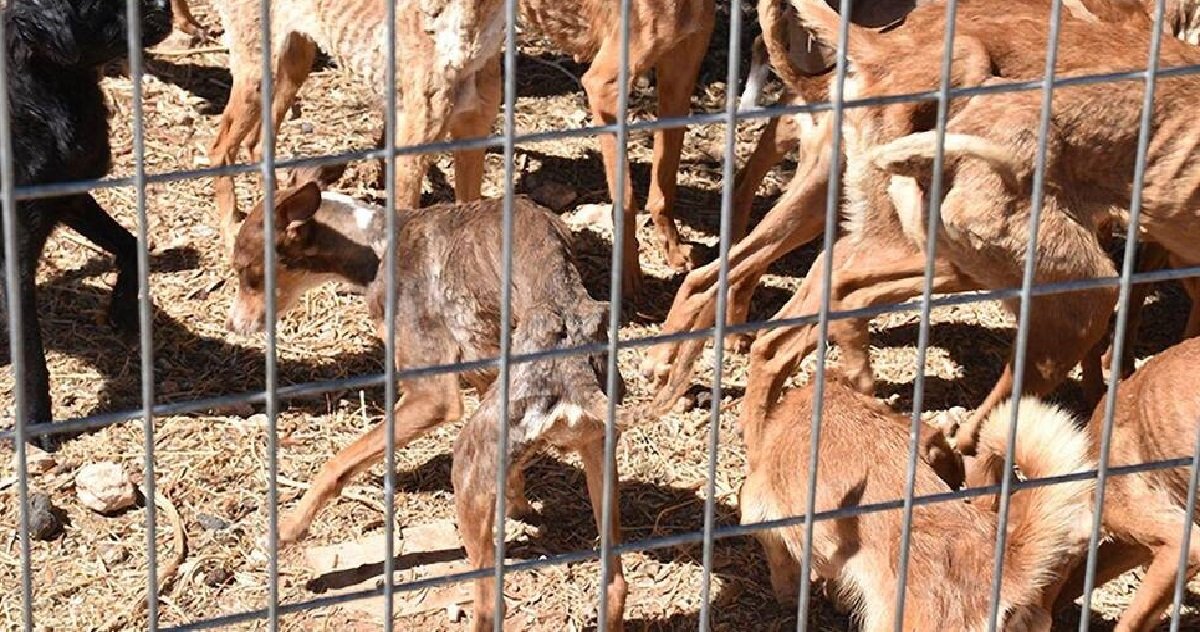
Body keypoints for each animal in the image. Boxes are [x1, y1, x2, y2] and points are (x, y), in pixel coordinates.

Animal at [2, 0, 172, 446]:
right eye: (98, 5)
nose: (165, 8)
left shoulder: (69, 197)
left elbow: (131, 244)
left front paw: (122, 311)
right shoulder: (16, 248)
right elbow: (31, 350)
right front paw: (38, 426)